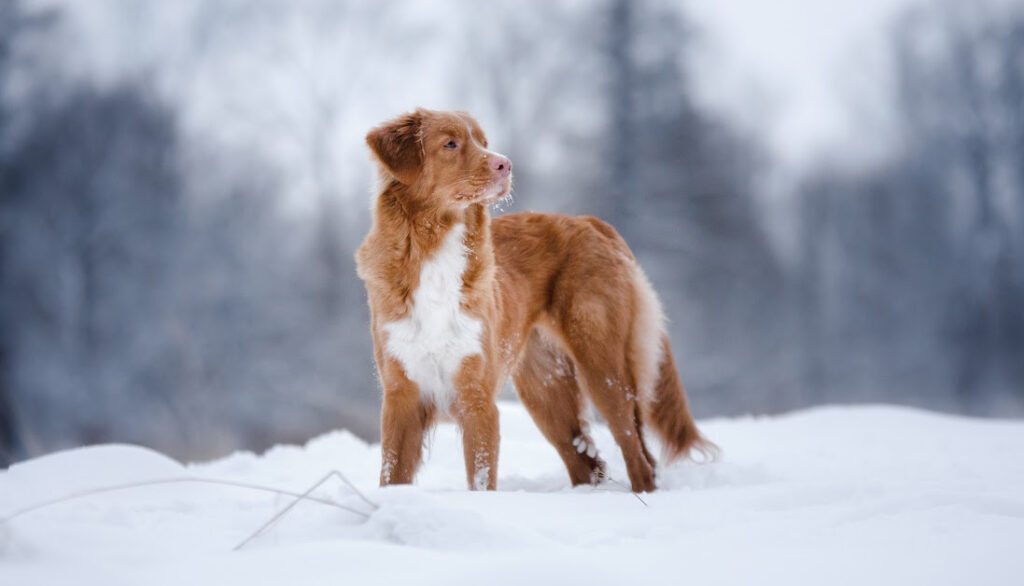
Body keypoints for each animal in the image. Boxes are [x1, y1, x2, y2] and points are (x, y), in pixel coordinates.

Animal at [354, 107, 712, 491]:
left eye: (483, 141)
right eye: (450, 144)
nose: (505, 165)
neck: (435, 245)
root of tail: (591, 222)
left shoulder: (477, 397)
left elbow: (481, 478)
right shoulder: (400, 396)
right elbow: (392, 474)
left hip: (602, 368)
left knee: (637, 455)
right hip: (546, 390)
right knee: (589, 462)